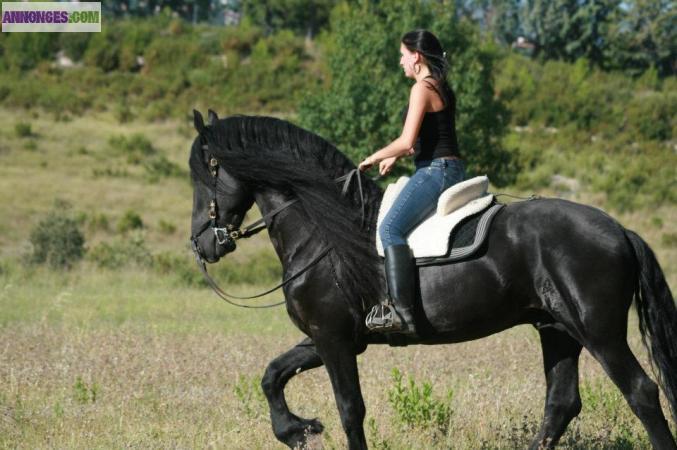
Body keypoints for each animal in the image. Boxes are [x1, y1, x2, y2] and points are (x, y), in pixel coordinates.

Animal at [188, 110, 677, 450]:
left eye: (202, 174)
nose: (203, 245)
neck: (322, 230)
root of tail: (619, 230)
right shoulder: (328, 337)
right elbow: (272, 375)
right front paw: (296, 430)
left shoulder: (333, 339)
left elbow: (350, 409)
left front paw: (301, 428)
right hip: (557, 329)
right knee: (561, 404)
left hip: (598, 331)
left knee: (641, 392)